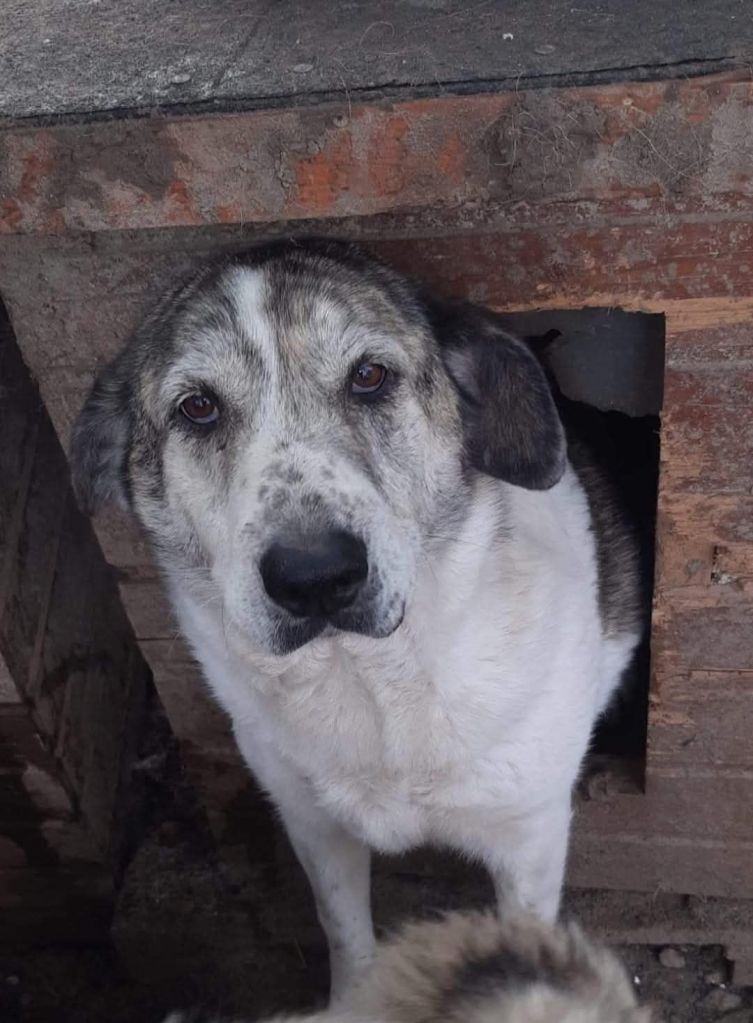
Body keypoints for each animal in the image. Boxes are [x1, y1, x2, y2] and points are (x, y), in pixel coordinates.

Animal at [72, 238, 641, 1002]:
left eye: (370, 377)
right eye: (198, 408)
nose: (314, 578)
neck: (374, 682)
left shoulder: (529, 836)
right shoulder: (313, 826)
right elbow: (344, 931)